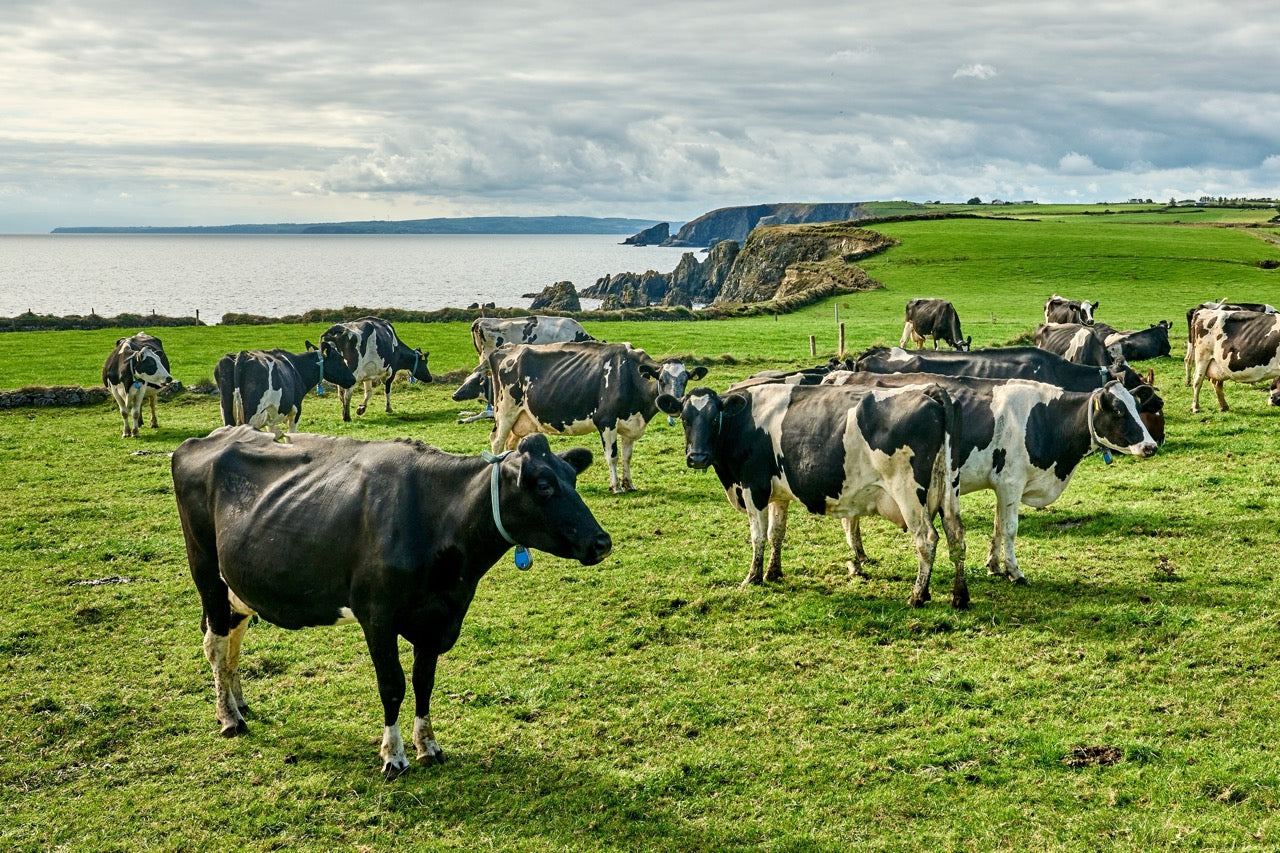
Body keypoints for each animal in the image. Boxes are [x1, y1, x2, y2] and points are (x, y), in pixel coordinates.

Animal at [172, 427, 611, 778]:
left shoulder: (439, 618)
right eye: (544, 486)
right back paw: (229, 717)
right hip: (206, 571)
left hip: (239, 585)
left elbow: (423, 682)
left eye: (573, 478)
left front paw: (428, 745)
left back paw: (239, 703)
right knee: (215, 644)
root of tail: (208, 437)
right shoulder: (377, 616)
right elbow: (393, 686)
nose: (602, 541)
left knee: (232, 641)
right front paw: (393, 755)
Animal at [214, 341, 357, 440]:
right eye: (340, 360)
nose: (353, 379)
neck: (297, 368)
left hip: (227, 413)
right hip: (251, 415)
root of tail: (241, 355)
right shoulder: (295, 411)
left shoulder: (270, 416)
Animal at [487, 341, 707, 493]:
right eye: (661, 379)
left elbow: (627, 457)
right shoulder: (606, 421)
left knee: (510, 445)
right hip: (505, 411)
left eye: (685, 380)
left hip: (521, 420)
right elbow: (613, 456)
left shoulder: (629, 423)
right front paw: (616, 487)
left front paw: (629, 484)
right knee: (497, 442)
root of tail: (507, 348)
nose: (675, 404)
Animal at [655, 383, 969, 608]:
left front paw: (753, 577)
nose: (697, 457)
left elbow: (758, 537)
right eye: (685, 419)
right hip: (948, 490)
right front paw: (773, 573)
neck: (742, 423)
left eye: (713, 418)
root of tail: (928, 391)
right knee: (956, 536)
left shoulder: (754, 487)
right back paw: (959, 596)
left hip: (908, 492)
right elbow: (776, 534)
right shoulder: (778, 495)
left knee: (926, 539)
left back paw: (918, 595)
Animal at [823, 371, 1158, 583]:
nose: (1151, 446)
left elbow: (997, 526)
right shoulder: (1011, 483)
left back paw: (859, 558)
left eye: (1137, 407)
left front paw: (994, 566)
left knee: (849, 518)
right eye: (1119, 412)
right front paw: (1015, 572)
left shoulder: (1003, 485)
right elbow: (1009, 528)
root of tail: (842, 374)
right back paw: (857, 559)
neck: (1043, 419)